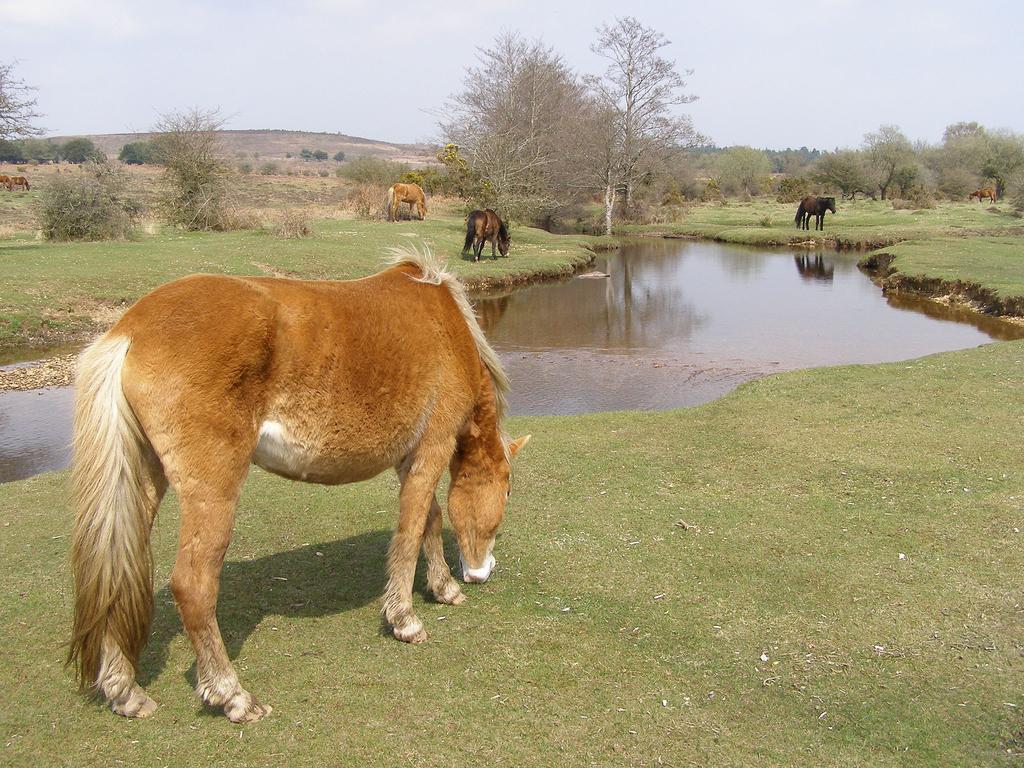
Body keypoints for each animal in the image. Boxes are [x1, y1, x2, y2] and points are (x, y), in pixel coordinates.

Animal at [66, 249, 528, 724]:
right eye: (509, 490)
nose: (481, 571)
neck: (447, 328)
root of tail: (129, 330)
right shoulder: (432, 449)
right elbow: (412, 531)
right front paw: (405, 620)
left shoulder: (410, 461)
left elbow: (430, 520)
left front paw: (443, 588)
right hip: (212, 490)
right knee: (193, 586)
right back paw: (232, 695)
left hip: (142, 479)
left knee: (117, 574)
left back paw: (125, 691)